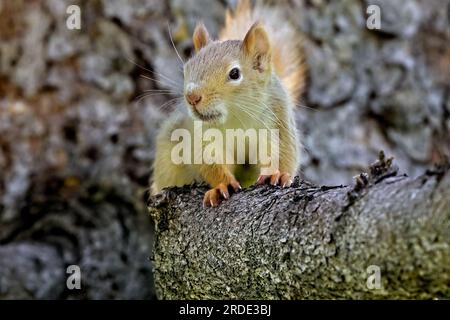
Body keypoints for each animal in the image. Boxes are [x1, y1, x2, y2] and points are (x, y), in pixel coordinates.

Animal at [151, 0, 306, 208]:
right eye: (186, 69)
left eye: (234, 74)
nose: (192, 97)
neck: (237, 117)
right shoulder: (202, 135)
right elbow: (210, 162)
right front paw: (221, 187)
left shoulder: (277, 121)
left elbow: (282, 152)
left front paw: (278, 174)